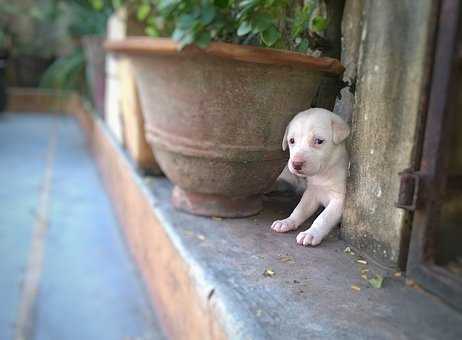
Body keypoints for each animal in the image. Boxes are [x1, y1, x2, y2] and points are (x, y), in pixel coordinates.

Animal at [268, 109, 348, 247]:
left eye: (319, 141)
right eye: (292, 140)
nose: (296, 164)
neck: (324, 173)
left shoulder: (339, 200)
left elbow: (323, 218)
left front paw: (311, 234)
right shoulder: (311, 193)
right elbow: (300, 209)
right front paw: (287, 221)